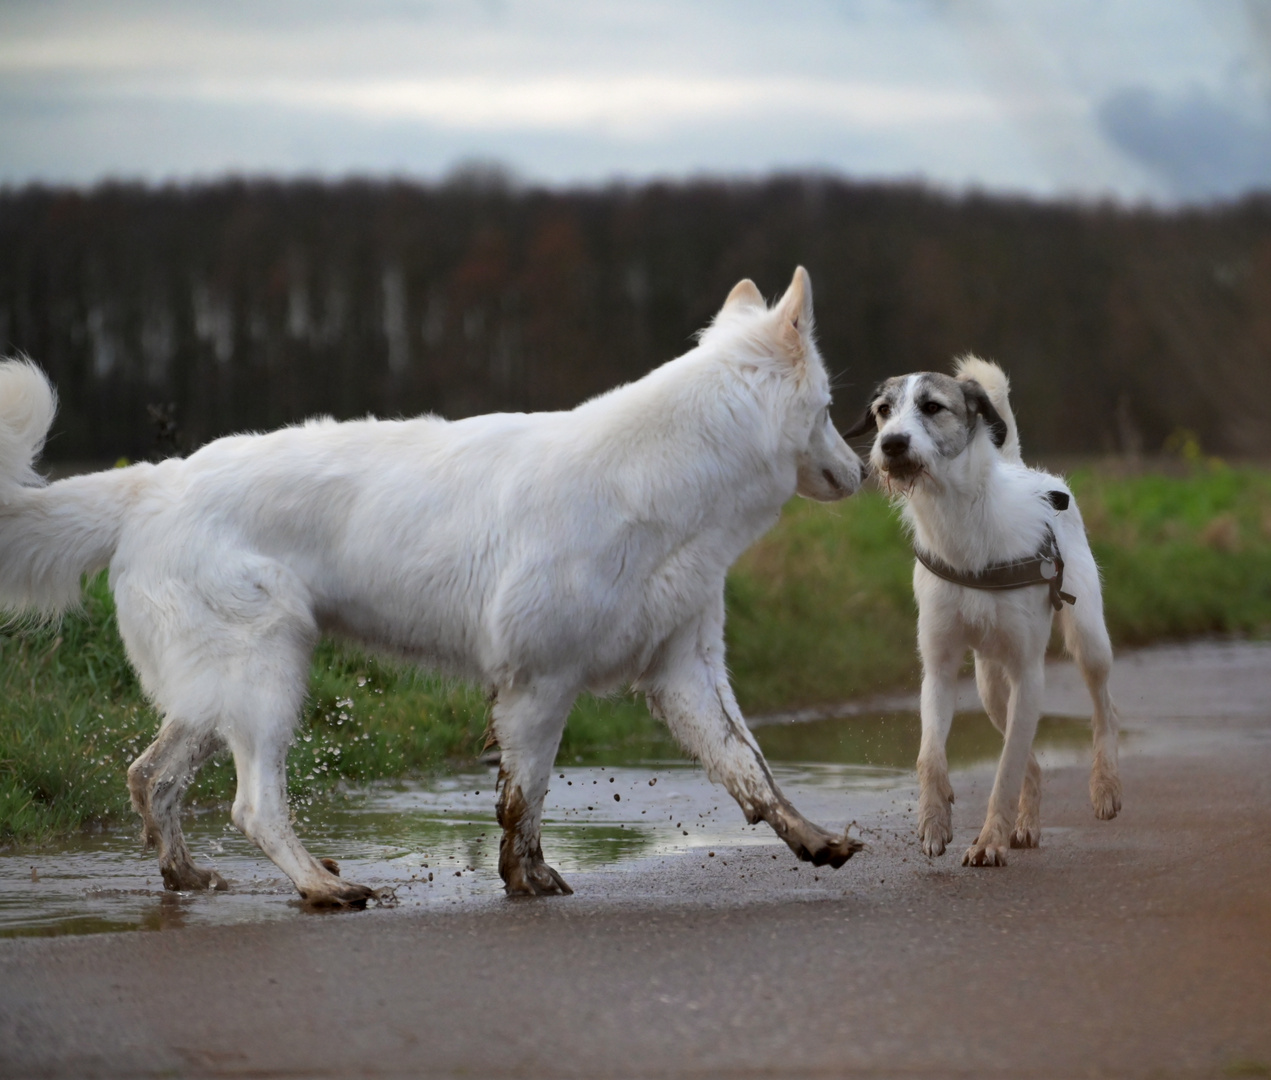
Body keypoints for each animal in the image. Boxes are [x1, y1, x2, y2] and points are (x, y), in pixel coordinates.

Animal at [0, 266, 864, 899]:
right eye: (828, 409)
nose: (862, 470)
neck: (665, 476)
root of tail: (153, 483)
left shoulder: (685, 672)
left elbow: (751, 770)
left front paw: (812, 839)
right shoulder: (538, 686)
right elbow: (526, 798)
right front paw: (528, 880)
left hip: (219, 695)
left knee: (151, 778)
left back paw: (186, 875)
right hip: (266, 680)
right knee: (251, 806)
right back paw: (322, 887)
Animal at [849, 358, 1118, 864]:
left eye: (932, 407)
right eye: (882, 411)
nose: (891, 444)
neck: (961, 525)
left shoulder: (1030, 673)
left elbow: (1006, 767)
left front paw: (990, 840)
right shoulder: (938, 666)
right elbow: (930, 755)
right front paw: (935, 822)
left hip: (1088, 640)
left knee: (1103, 710)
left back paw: (1105, 787)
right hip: (990, 686)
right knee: (1032, 760)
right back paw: (1026, 823)